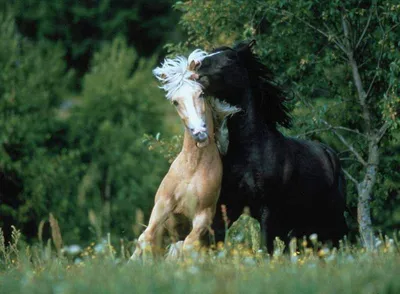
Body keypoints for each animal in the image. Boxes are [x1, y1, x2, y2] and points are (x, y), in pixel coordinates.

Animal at [130, 51, 238, 260]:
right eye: (175, 101)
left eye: (201, 94)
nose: (199, 133)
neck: (193, 168)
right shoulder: (162, 207)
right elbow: (145, 238)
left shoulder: (203, 216)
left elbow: (186, 246)